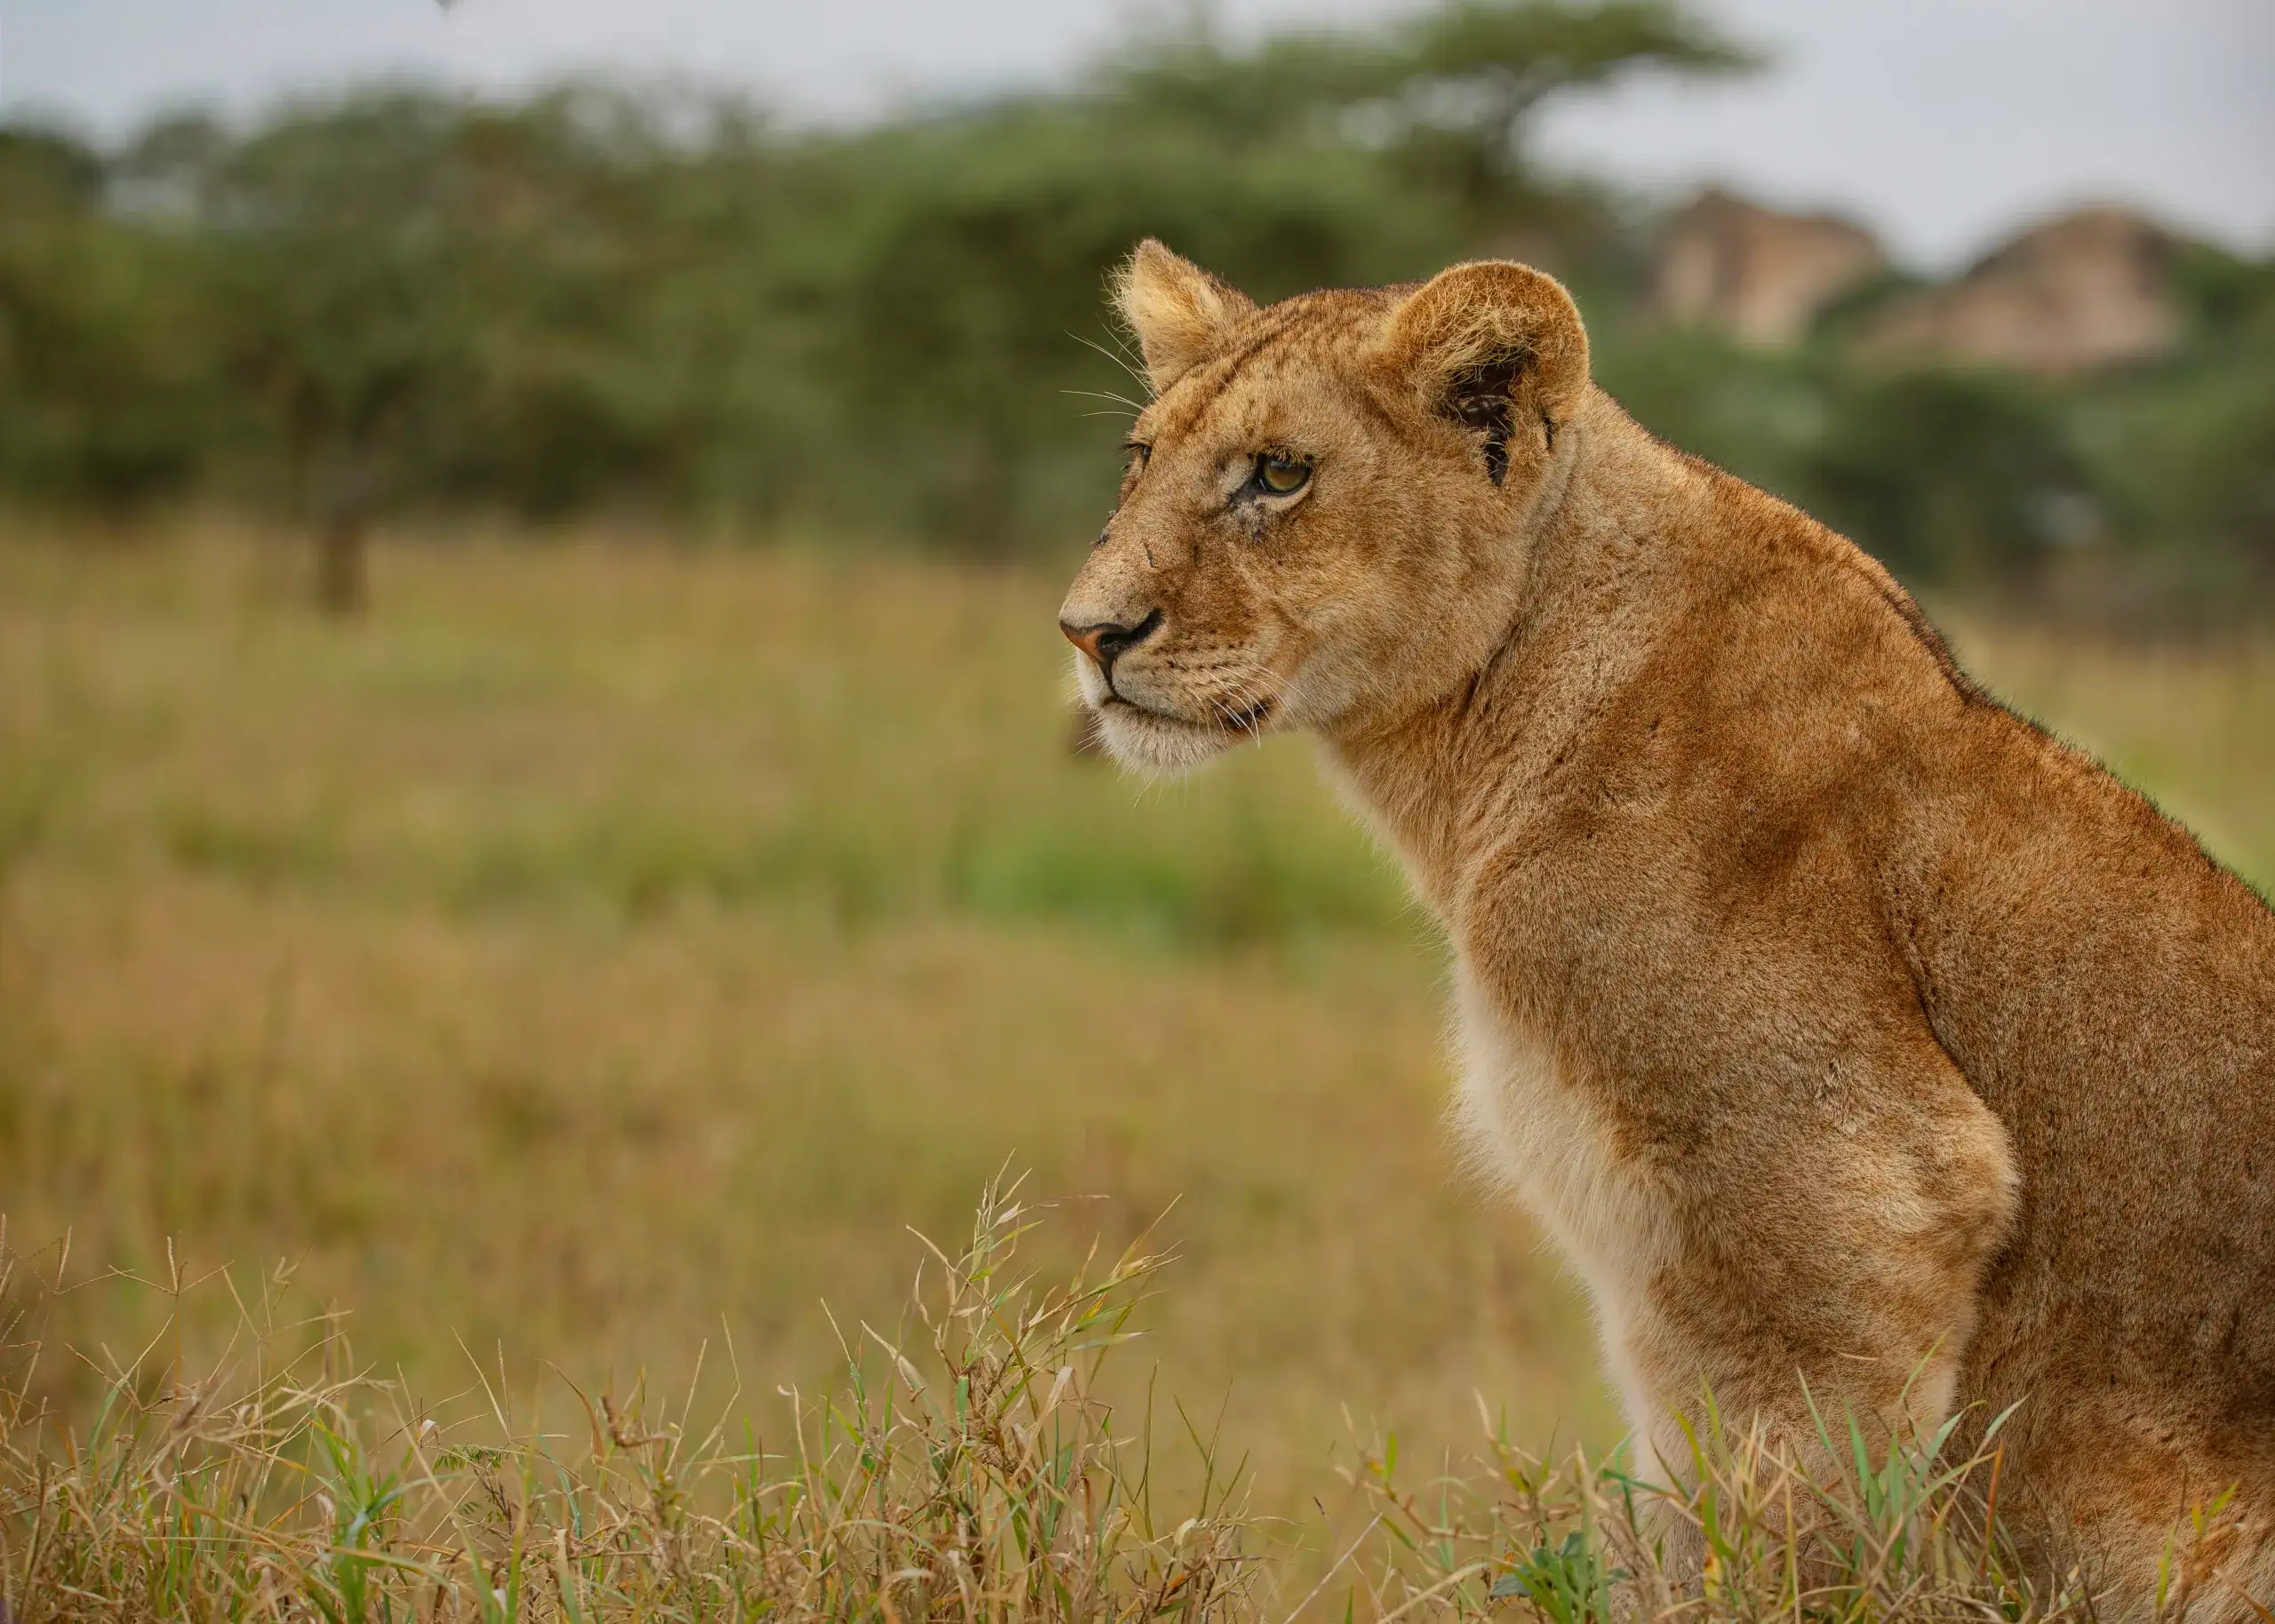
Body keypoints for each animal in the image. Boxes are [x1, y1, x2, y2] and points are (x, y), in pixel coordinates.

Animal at [1057, 240, 2275, 1615]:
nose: (1088, 632)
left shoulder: (1857, 1187)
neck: (1478, 745)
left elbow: (1779, 1526)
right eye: (1139, 457)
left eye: (1277, 473)